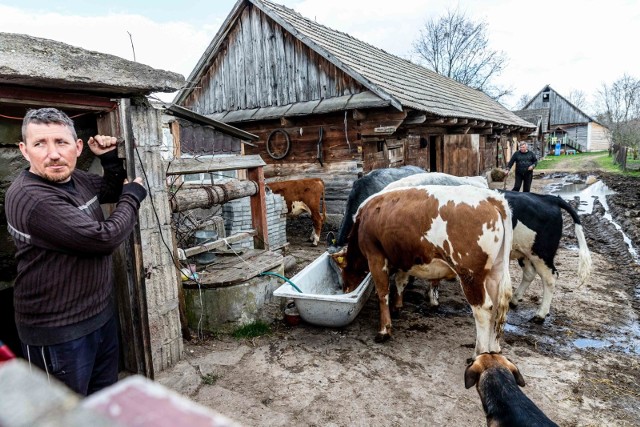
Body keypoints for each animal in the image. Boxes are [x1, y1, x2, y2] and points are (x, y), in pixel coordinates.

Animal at [330, 186, 516, 360]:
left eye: (342, 272)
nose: (345, 290)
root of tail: (491, 197)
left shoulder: (375, 256)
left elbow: (382, 292)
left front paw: (384, 330)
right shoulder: (403, 258)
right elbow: (401, 281)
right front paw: (397, 306)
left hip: (470, 275)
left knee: (483, 310)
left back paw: (479, 353)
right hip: (494, 273)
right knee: (496, 309)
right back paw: (494, 349)